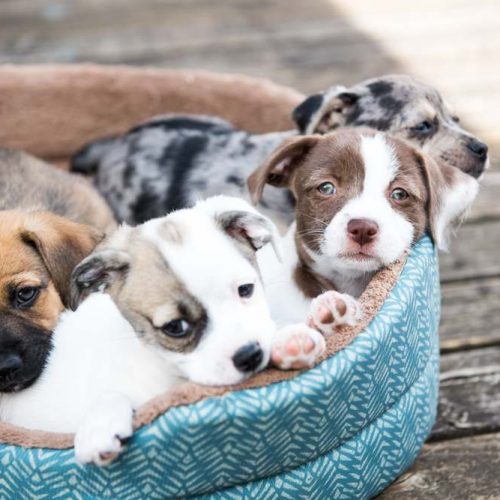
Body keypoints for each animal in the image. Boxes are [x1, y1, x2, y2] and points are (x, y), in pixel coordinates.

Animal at [0, 195, 324, 464]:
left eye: (246, 289)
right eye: (175, 327)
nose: (250, 355)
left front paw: (291, 338)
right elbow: (112, 395)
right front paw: (100, 426)